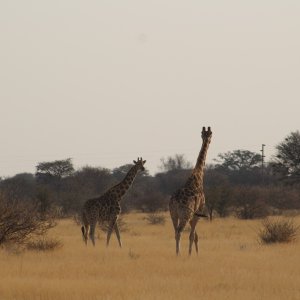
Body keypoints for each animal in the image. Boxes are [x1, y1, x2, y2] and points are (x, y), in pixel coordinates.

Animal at [169, 126, 213, 255]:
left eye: (206, 133)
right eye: (211, 134)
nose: (208, 140)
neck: (197, 176)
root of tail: (175, 200)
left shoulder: (193, 215)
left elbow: (195, 236)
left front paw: (195, 254)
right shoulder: (197, 213)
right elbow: (192, 236)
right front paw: (190, 255)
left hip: (173, 214)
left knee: (175, 231)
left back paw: (177, 253)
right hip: (185, 215)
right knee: (179, 231)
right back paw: (179, 254)